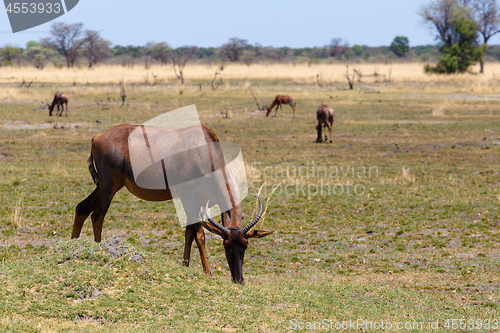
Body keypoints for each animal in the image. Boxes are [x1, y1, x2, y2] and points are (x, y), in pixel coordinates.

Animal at [71, 124, 274, 282]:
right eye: (226, 245)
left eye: (246, 244)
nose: (238, 279)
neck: (203, 150)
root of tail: (97, 137)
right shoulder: (187, 196)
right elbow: (199, 234)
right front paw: (208, 273)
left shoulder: (198, 201)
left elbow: (189, 232)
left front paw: (185, 265)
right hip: (109, 185)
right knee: (97, 215)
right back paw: (98, 249)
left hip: (109, 185)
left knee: (82, 208)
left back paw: (73, 244)